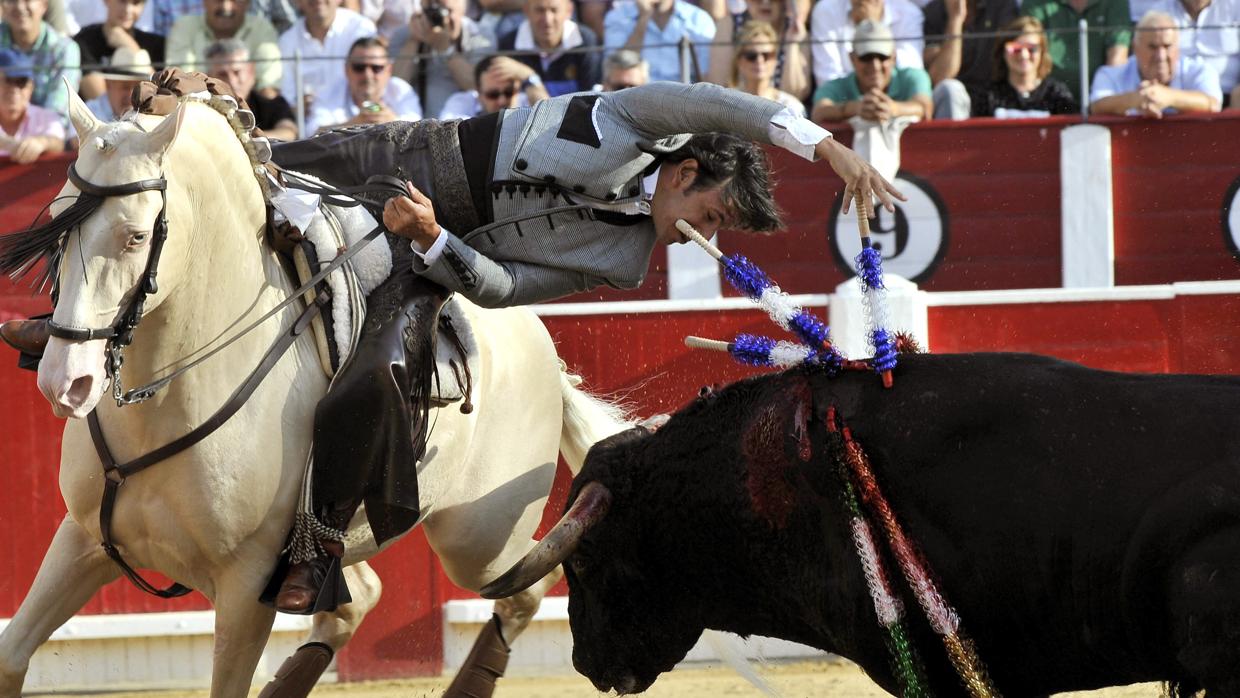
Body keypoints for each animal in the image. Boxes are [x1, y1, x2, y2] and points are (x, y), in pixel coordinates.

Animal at [0, 89, 624, 694]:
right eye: (56, 225)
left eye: (134, 236)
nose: (66, 382)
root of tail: (541, 343)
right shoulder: (83, 541)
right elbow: (13, 656)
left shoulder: (246, 586)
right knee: (360, 599)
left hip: (478, 540)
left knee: (525, 589)